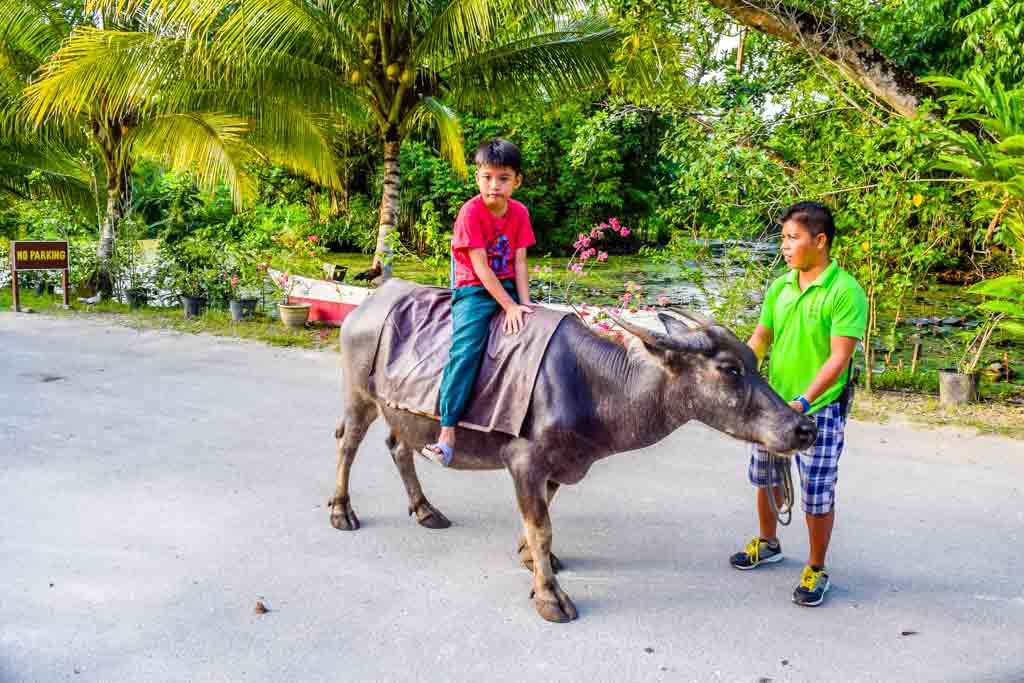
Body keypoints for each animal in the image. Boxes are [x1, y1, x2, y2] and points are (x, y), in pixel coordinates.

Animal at [327, 278, 815, 626]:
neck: (594, 387)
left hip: (403, 415)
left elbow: (543, 519)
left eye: (753, 361)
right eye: (729, 369)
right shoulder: (524, 462)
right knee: (348, 443)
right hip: (358, 395)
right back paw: (342, 511)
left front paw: (531, 560)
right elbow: (541, 526)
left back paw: (426, 510)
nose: (803, 427)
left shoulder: (558, 466)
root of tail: (369, 303)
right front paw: (549, 595)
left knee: (398, 446)